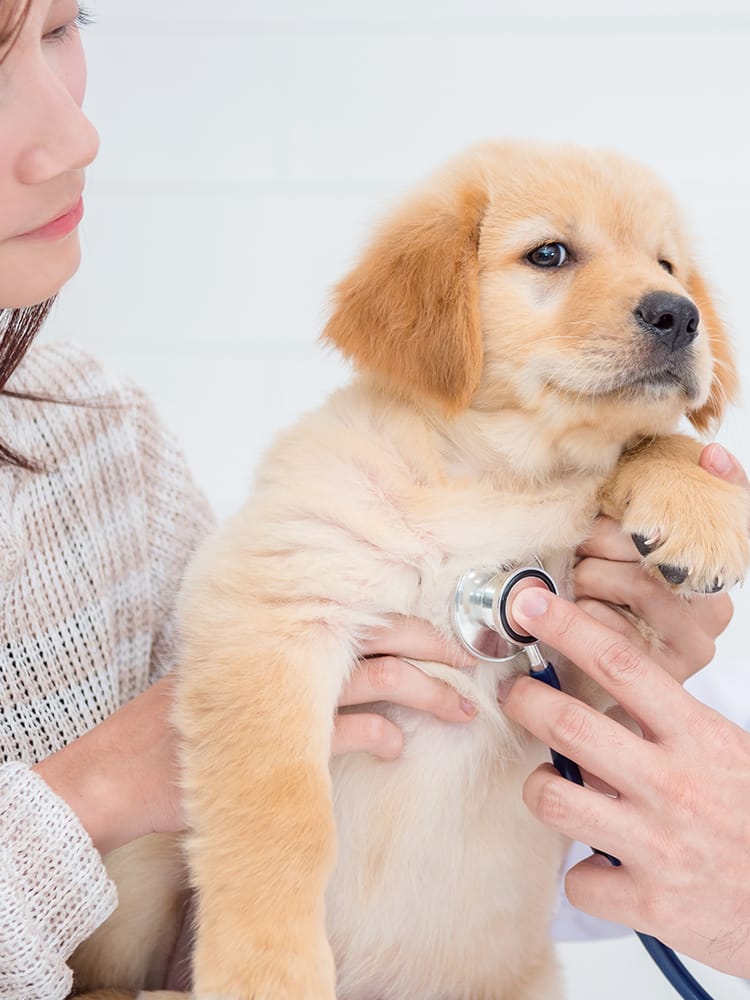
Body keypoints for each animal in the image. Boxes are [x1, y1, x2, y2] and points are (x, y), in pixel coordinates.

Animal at [72, 141, 750, 1000]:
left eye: (667, 264)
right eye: (549, 254)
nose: (679, 313)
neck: (493, 479)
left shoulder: (587, 687)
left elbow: (652, 436)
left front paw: (700, 503)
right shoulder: (274, 604)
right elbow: (280, 813)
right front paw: (269, 971)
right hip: (142, 854)